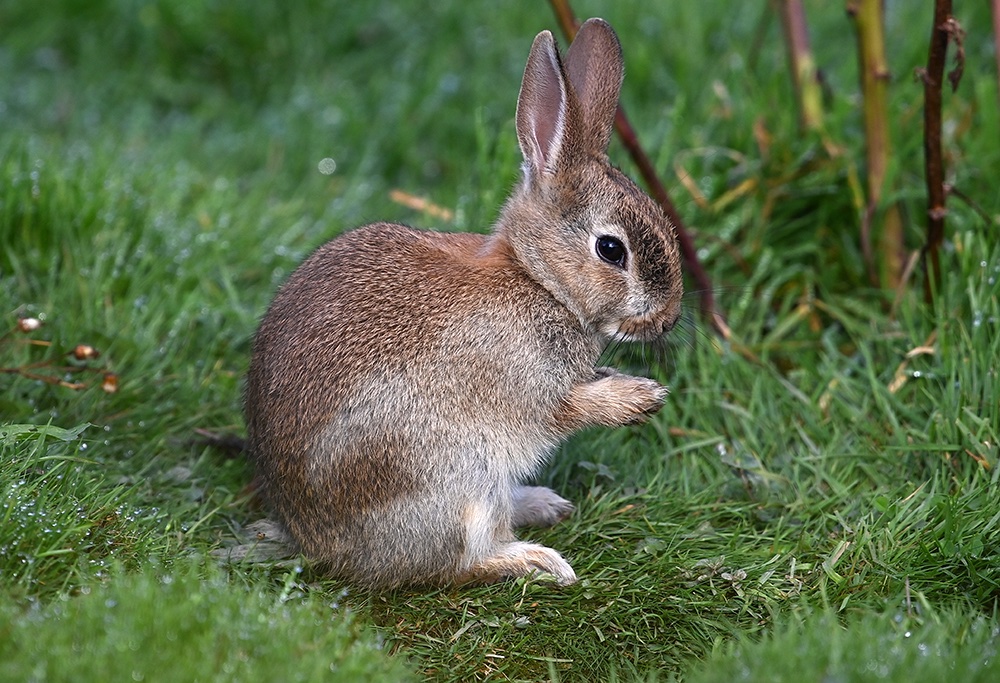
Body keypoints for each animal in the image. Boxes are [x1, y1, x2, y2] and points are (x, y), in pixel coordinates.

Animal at [244, 17, 683, 590]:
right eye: (612, 249)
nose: (669, 318)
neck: (536, 279)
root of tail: (320, 545)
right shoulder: (526, 382)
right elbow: (565, 408)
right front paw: (641, 397)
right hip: (461, 477)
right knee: (460, 561)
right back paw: (537, 560)